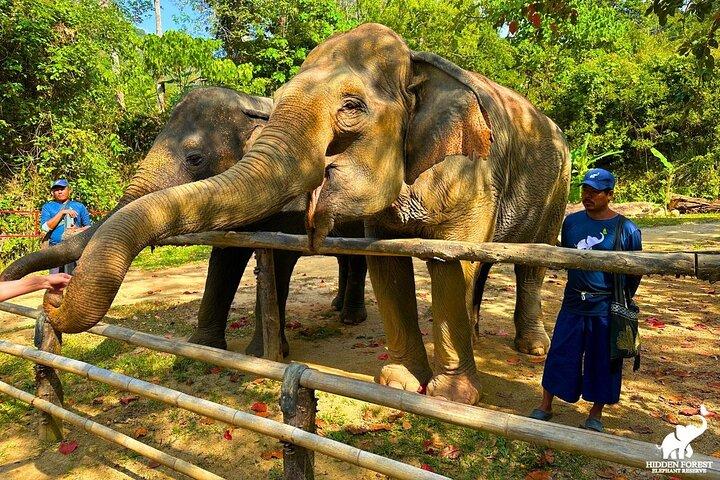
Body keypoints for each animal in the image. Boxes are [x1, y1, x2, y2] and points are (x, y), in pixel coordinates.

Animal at [2, 87, 367, 354]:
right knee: (346, 258)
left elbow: (278, 260)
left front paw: (260, 354)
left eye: (194, 158)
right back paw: (338, 308)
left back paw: (351, 319)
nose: (53, 295)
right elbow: (224, 259)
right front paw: (204, 347)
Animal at [43, 24, 570, 405]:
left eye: (194, 158)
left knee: (529, 263)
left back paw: (529, 348)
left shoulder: (472, 170)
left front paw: (449, 398)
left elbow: (447, 263)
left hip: (557, 188)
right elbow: (376, 260)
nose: (52, 295)